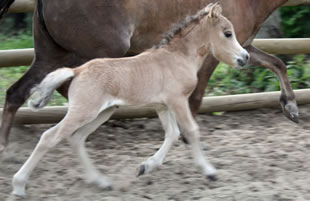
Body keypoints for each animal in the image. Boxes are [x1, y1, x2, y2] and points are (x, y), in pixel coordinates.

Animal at [0, 0, 300, 152]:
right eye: (226, 31)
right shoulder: (216, 53)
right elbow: (195, 98)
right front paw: (185, 136)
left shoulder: (243, 47)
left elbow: (277, 63)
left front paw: (291, 109)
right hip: (101, 50)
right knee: (69, 86)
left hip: (49, 54)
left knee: (17, 92)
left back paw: (5, 147)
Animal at [12, 3, 249, 197]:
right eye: (228, 33)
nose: (244, 58)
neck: (178, 57)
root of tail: (77, 71)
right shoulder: (178, 101)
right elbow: (191, 131)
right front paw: (209, 172)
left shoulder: (163, 106)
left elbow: (172, 134)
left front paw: (145, 167)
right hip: (83, 112)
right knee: (49, 137)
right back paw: (18, 185)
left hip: (102, 112)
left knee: (77, 138)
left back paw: (101, 182)